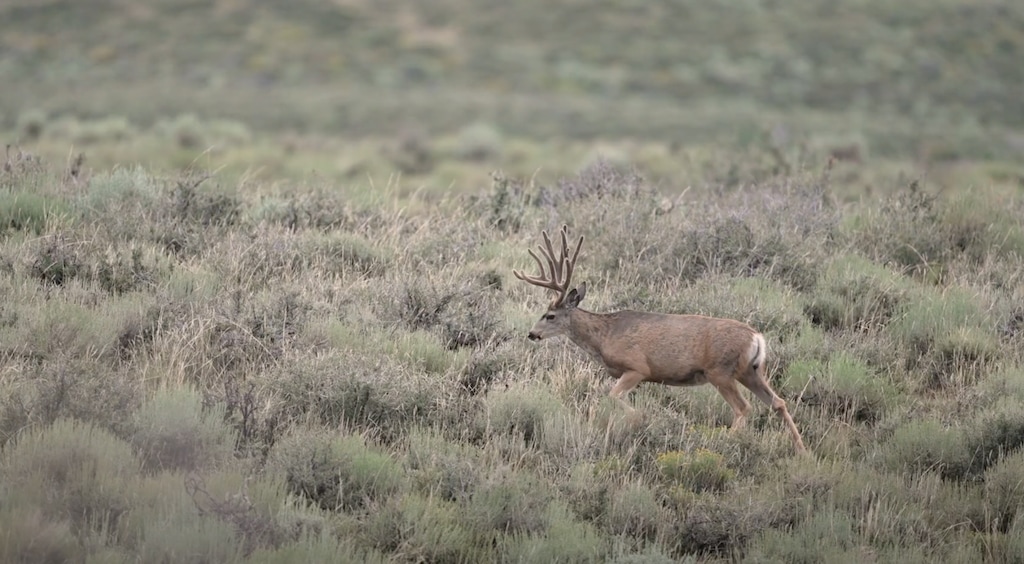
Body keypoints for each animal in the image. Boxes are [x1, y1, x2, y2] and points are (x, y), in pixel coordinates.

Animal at [513, 225, 806, 453]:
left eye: (550, 315)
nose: (532, 333)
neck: (604, 336)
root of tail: (757, 337)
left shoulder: (637, 368)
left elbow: (611, 396)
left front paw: (642, 418)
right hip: (751, 370)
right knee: (778, 402)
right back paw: (803, 451)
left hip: (720, 371)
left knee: (744, 408)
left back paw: (725, 444)